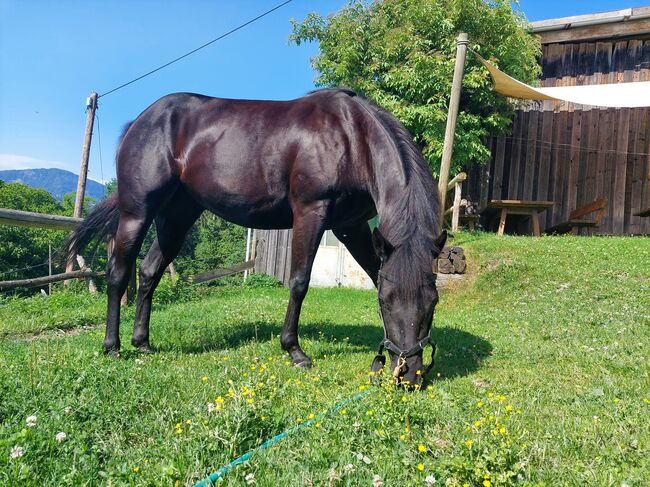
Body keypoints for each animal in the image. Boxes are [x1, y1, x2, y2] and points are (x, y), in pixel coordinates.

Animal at [71, 86, 446, 386]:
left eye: (433, 302)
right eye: (388, 302)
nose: (409, 375)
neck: (353, 138)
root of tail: (139, 121)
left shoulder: (351, 227)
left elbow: (373, 273)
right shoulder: (311, 213)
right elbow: (299, 281)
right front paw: (294, 351)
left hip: (178, 216)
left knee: (149, 272)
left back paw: (143, 343)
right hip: (137, 213)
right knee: (118, 273)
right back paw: (112, 347)